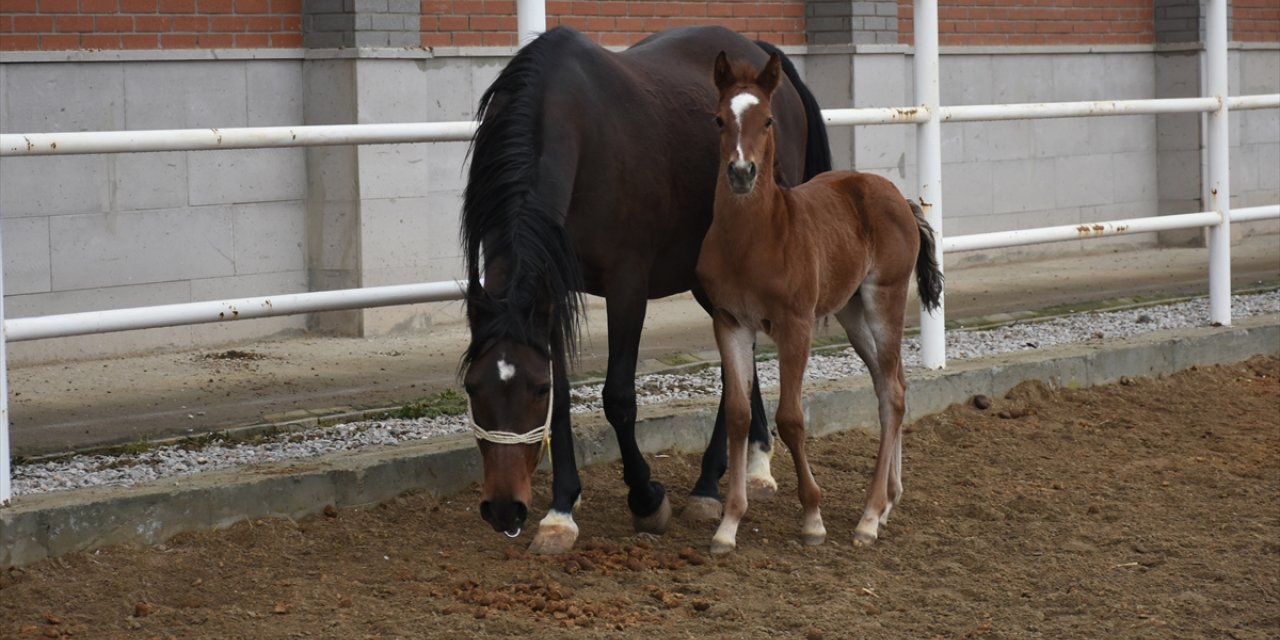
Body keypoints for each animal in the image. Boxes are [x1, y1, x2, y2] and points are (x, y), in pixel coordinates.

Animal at [460, 27, 829, 552]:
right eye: (473, 386)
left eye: (535, 390)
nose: (504, 508)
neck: (578, 127)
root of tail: (759, 50)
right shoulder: (552, 290)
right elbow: (567, 401)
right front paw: (560, 510)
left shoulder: (627, 285)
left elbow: (617, 396)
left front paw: (646, 498)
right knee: (741, 360)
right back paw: (754, 464)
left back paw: (707, 484)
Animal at [696, 51, 947, 555]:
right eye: (719, 119)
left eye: (768, 120)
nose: (741, 173)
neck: (753, 239)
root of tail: (899, 196)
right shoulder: (730, 322)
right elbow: (738, 415)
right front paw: (728, 525)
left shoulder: (796, 325)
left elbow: (791, 417)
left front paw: (813, 518)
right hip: (852, 314)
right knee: (893, 384)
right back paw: (888, 503)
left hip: (884, 299)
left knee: (892, 394)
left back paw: (869, 517)